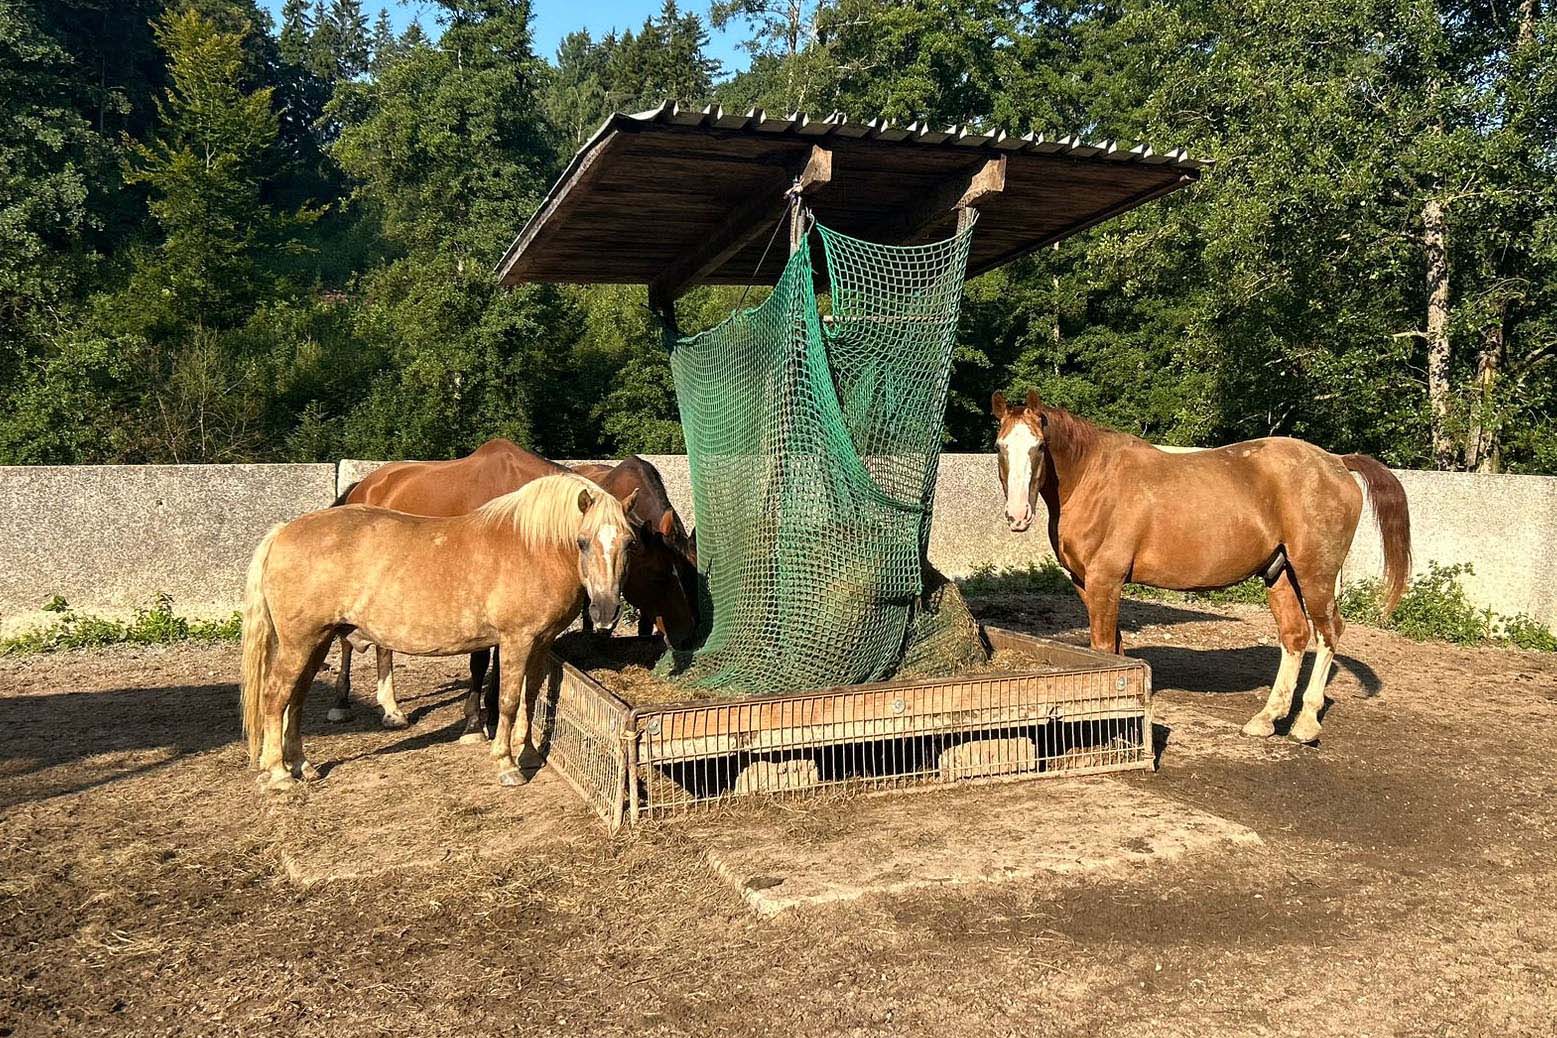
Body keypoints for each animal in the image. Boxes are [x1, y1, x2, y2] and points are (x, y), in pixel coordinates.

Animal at [240, 473, 637, 789]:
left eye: (629, 542)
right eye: (582, 541)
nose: (605, 611)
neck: (532, 548)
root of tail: (282, 533)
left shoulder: (540, 644)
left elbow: (529, 698)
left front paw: (526, 754)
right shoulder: (516, 641)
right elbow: (508, 701)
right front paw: (506, 764)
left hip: (318, 641)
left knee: (296, 698)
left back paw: (302, 766)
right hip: (299, 643)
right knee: (275, 697)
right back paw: (279, 774)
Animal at [329, 440, 697, 740]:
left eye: (630, 547)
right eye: (660, 573)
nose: (686, 635)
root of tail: (365, 484)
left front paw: (492, 711)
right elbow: (480, 660)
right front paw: (474, 723)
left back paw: (391, 710)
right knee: (348, 641)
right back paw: (344, 701)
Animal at [992, 390, 1411, 744]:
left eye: (1039, 447)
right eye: (1000, 447)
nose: (1017, 515)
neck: (1093, 480)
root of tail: (1336, 462)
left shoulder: (1104, 582)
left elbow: (1104, 648)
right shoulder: (1085, 583)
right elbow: (1116, 651)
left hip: (1314, 574)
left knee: (1328, 633)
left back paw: (1306, 724)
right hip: (1281, 573)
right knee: (1294, 636)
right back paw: (1267, 718)